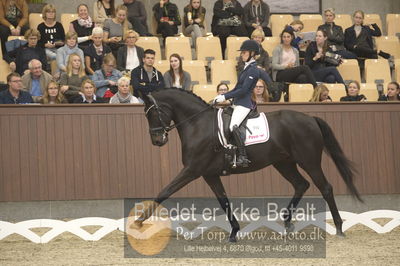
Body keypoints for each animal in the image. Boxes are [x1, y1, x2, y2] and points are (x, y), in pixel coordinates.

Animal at [134, 88, 362, 242]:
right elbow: (223, 201)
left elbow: (165, 191)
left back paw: (339, 228)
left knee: (325, 188)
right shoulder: (209, 174)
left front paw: (138, 221)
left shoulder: (192, 170)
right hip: (283, 163)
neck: (197, 124)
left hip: (309, 161)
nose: (157, 140)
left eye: (152, 113)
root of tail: (311, 118)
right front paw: (234, 232)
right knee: (301, 185)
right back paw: (287, 222)